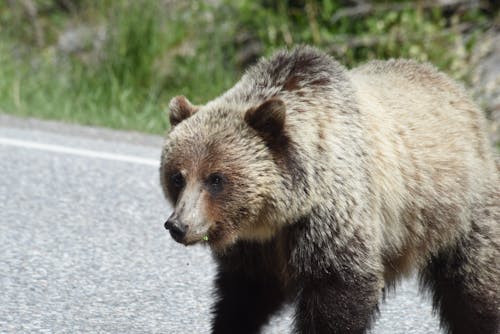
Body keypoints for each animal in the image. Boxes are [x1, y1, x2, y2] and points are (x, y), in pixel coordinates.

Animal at [158, 47, 498, 334]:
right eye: (177, 177)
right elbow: (243, 295)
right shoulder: (255, 247)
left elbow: (338, 288)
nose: (179, 225)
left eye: (216, 178)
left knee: (473, 287)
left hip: (462, 209)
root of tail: (458, 91)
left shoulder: (332, 216)